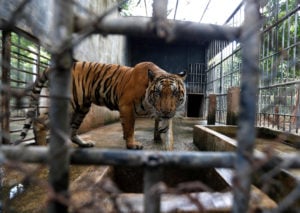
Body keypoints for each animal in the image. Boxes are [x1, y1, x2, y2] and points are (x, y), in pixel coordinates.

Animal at [18, 60, 185, 149]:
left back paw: (84, 144)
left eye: (175, 94)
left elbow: (163, 125)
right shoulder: (127, 106)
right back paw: (42, 149)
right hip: (69, 103)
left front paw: (162, 136)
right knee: (40, 121)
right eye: (158, 93)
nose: (166, 112)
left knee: (72, 129)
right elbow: (130, 128)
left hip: (81, 108)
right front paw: (131, 144)